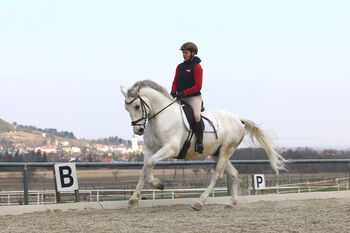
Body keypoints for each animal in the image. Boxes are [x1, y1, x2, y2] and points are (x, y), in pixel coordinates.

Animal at [121, 80, 288, 211]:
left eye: (137, 106)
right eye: (126, 109)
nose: (138, 130)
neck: (161, 117)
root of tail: (238, 120)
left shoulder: (171, 148)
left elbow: (149, 164)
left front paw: (158, 184)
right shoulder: (149, 150)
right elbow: (145, 169)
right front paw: (134, 199)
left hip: (226, 150)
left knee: (218, 175)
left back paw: (199, 202)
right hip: (217, 153)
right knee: (233, 173)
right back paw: (231, 203)